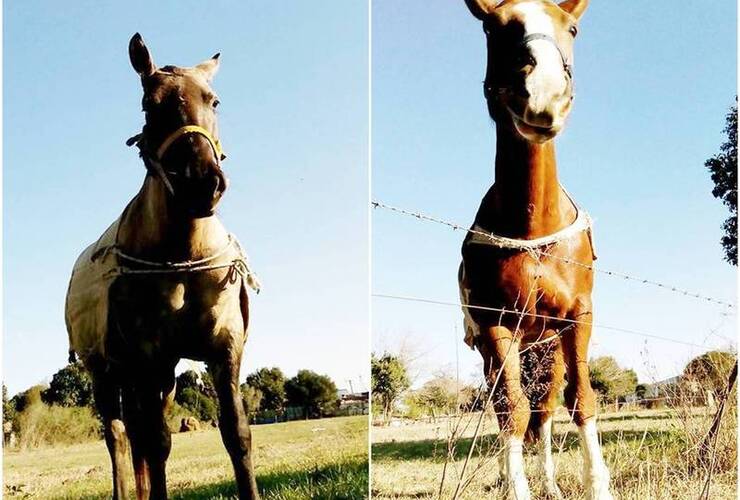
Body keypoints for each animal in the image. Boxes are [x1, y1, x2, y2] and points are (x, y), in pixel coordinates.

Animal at [65, 35, 260, 500]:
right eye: (148, 105)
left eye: (214, 100)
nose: (200, 181)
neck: (183, 259)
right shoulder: (147, 357)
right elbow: (156, 443)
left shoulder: (224, 351)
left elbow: (236, 434)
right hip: (104, 372)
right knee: (120, 436)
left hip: (161, 378)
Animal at [462, 0, 612, 500]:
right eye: (492, 28)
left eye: (573, 29)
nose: (544, 93)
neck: (533, 229)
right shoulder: (495, 324)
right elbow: (512, 411)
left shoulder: (578, 316)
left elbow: (581, 400)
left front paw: (596, 485)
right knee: (510, 408)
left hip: (547, 348)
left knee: (546, 410)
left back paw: (552, 484)